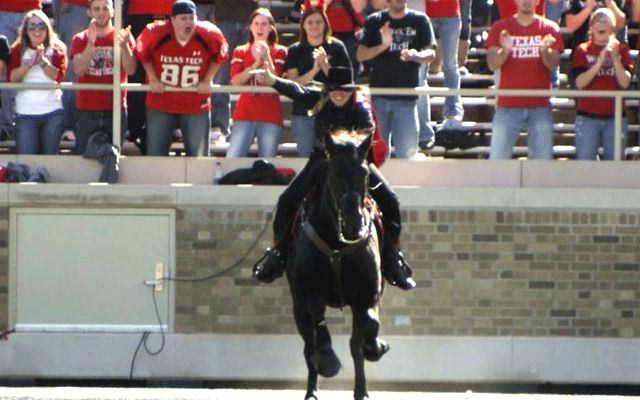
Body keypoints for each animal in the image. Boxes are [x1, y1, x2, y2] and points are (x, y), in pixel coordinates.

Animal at [286, 131, 388, 400]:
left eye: (365, 173)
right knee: (309, 344)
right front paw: (329, 361)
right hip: (297, 305)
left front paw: (375, 348)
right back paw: (312, 389)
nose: (354, 222)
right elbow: (318, 322)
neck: (337, 243)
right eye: (333, 171)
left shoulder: (369, 293)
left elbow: (369, 327)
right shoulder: (311, 291)